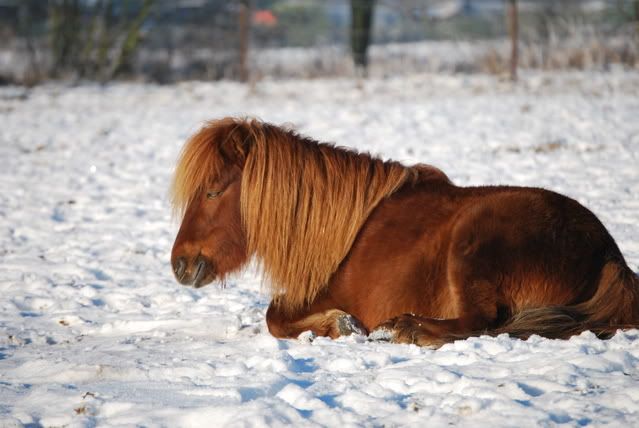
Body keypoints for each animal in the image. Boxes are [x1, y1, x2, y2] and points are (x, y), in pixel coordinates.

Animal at [170, 117, 639, 347]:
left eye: (212, 190)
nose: (180, 264)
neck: (345, 235)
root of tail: (609, 254)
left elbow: (273, 317)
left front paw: (341, 326)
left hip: (473, 249)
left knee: (482, 322)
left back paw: (407, 329)